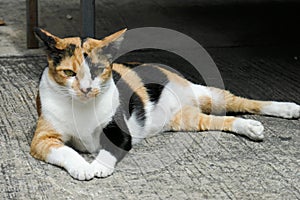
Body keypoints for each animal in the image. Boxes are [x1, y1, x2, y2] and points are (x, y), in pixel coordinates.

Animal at [30, 27, 300, 180]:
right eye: (69, 73)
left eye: (98, 71)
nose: (86, 89)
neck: (81, 106)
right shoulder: (43, 139)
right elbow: (66, 151)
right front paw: (83, 167)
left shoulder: (119, 130)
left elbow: (109, 149)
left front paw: (97, 166)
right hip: (188, 119)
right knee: (221, 118)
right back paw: (250, 127)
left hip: (207, 93)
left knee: (244, 102)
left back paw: (287, 108)